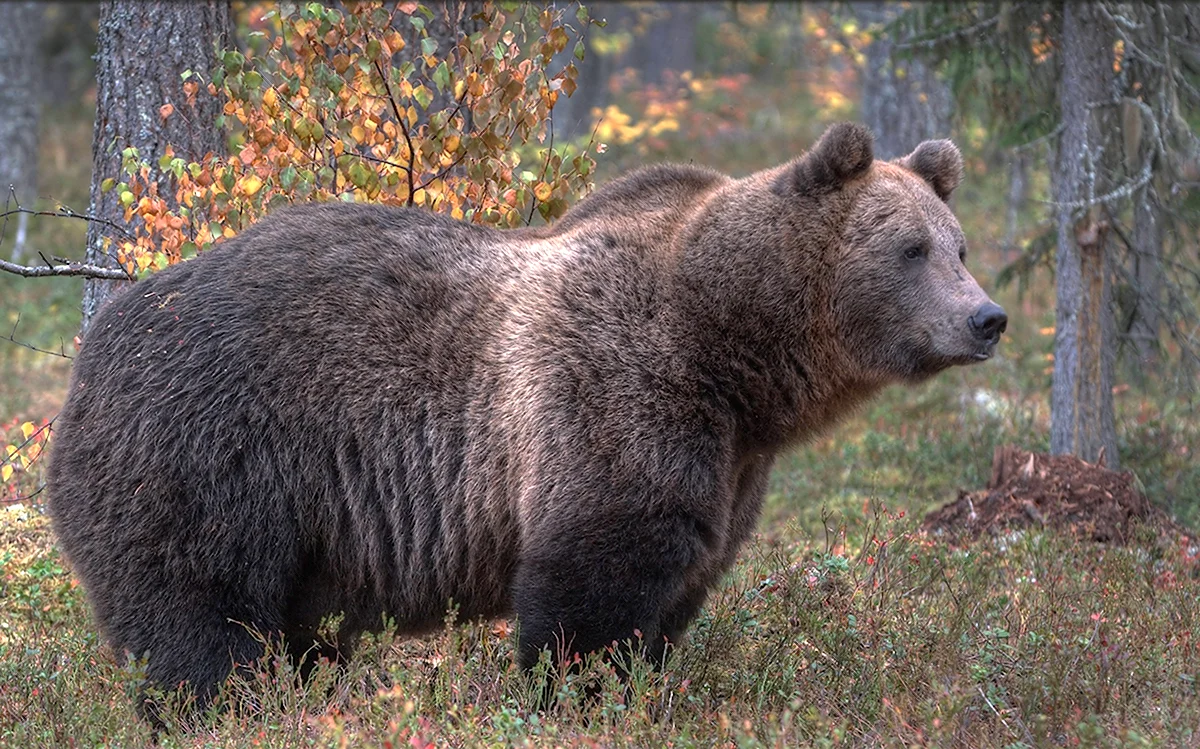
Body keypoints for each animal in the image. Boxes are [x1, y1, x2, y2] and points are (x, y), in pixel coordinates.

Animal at [46, 123, 1003, 720]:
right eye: (911, 249)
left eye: (958, 244)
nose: (987, 317)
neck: (732, 355)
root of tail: (89, 352)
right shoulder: (611, 400)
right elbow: (592, 591)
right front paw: (577, 699)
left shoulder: (730, 463)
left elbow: (679, 592)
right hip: (209, 453)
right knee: (199, 621)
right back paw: (223, 711)